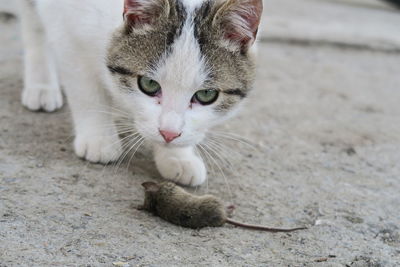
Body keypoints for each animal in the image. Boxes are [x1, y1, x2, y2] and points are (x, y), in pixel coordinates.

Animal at [16, 0, 262, 187]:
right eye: (149, 84)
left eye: (206, 95)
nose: (169, 134)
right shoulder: (65, 26)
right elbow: (85, 88)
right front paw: (99, 138)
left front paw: (178, 157)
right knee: (33, 24)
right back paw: (41, 85)